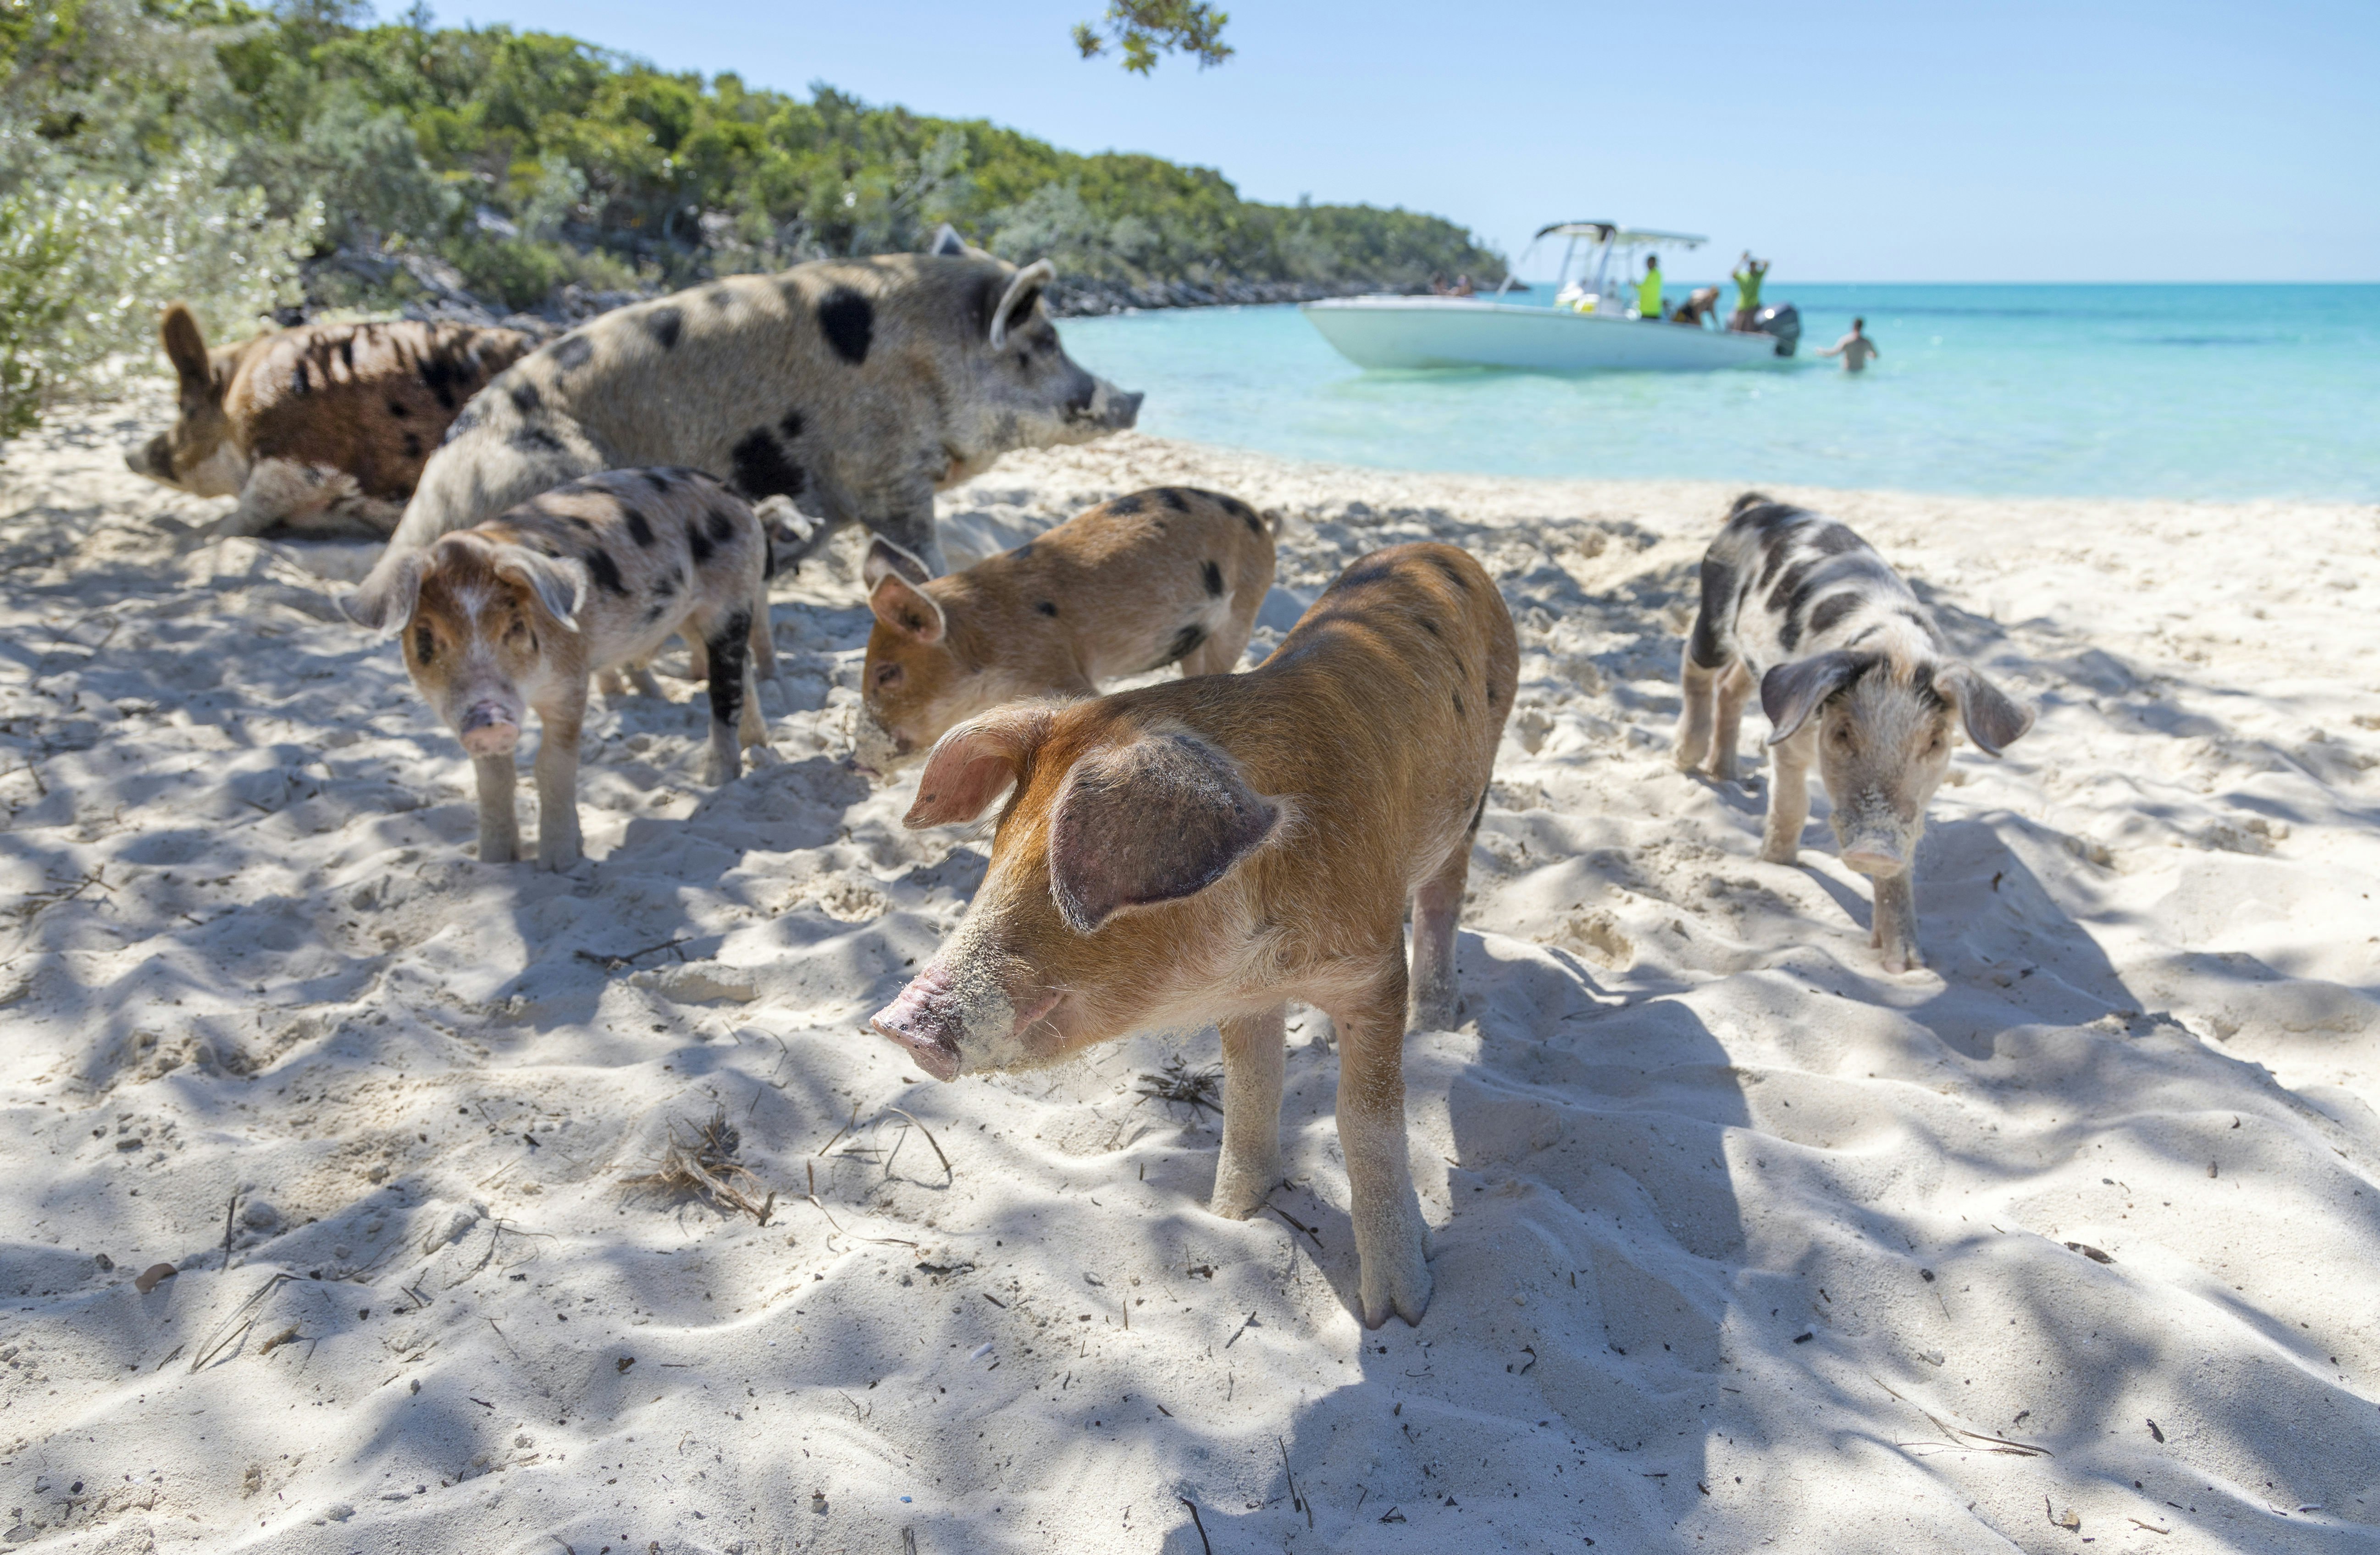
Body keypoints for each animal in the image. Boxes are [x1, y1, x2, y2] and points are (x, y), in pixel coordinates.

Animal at [378, 467, 776, 870]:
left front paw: (559, 864)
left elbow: (552, 765)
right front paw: (493, 862)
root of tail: (730, 492)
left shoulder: (571, 679)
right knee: (740, 667)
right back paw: (757, 746)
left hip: (730, 598)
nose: (489, 720)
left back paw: (717, 779)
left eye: (515, 626)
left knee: (725, 686)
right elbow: (494, 779)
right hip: (694, 618)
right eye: (425, 637)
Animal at [870, 542, 1517, 1326]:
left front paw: (1398, 1312)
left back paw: (1438, 1018)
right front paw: (1230, 1215)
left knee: (1444, 897)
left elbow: (1364, 1127)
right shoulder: (1243, 996)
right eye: (995, 856)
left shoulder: (1372, 973)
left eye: (1063, 876)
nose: (898, 1022)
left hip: (1476, 791)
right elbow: (1250, 1093)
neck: (1263, 955)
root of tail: (1438, 549)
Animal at [1672, 493, 2035, 971]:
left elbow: (1903, 863)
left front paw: (1906, 966)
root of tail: (1763, 507)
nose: (1874, 848)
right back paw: (1685, 758)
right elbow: (1791, 804)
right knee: (1694, 663)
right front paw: (1775, 862)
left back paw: (1726, 774)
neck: (1894, 648)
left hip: (1758, 662)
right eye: (1843, 733)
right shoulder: (1790, 734)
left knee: (1732, 687)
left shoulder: (1912, 808)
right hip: (1714, 606)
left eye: (1935, 742)